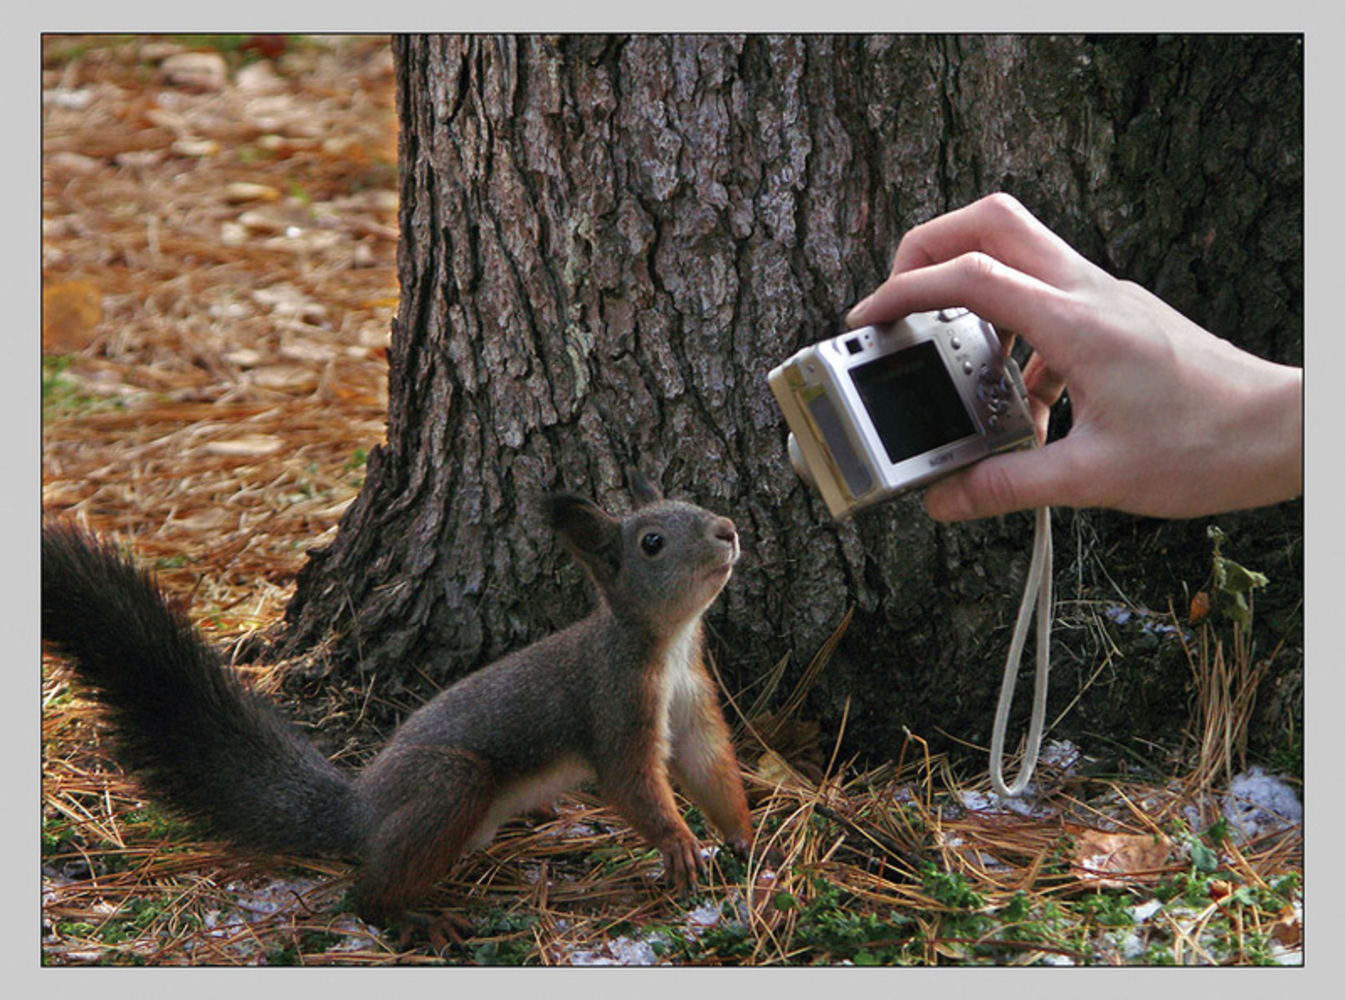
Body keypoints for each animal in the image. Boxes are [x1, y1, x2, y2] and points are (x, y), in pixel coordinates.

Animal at [39, 481, 758, 925]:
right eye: (652, 544)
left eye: (698, 506)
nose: (728, 530)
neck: (667, 645)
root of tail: (363, 806)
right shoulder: (613, 701)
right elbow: (632, 781)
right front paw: (678, 842)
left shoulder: (693, 700)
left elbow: (709, 765)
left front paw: (743, 837)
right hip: (449, 782)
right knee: (367, 891)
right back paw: (410, 921)